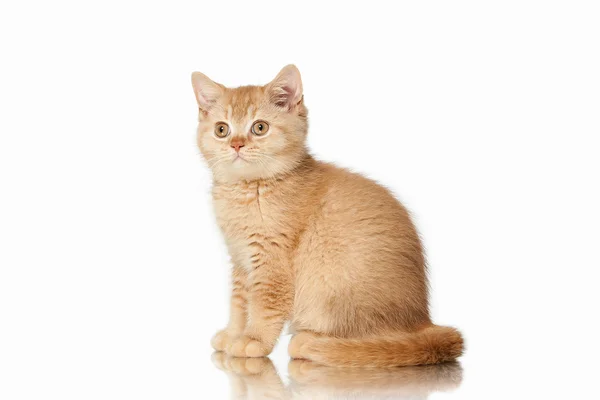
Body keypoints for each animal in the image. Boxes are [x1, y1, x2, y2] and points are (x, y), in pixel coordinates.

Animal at [192, 65, 464, 366]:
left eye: (259, 127)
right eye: (221, 130)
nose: (236, 145)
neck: (251, 189)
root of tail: (423, 321)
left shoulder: (272, 260)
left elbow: (265, 303)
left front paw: (254, 340)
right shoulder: (241, 259)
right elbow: (239, 302)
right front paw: (233, 333)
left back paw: (310, 342)